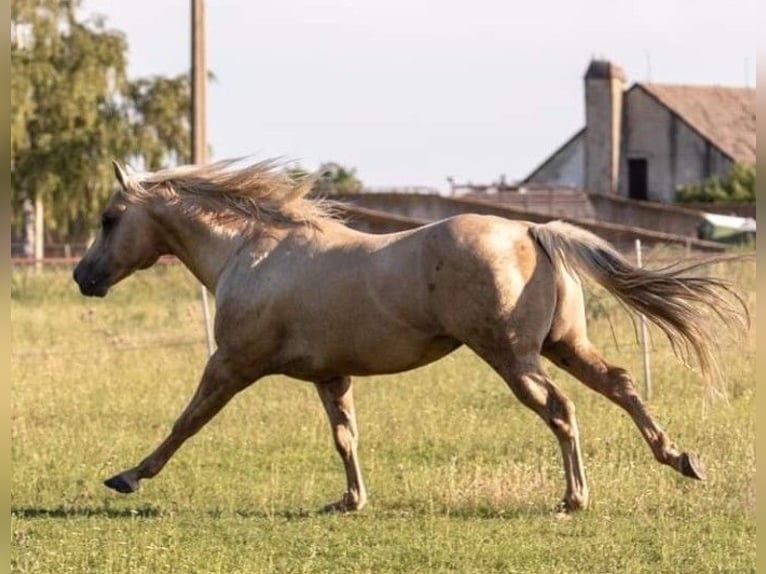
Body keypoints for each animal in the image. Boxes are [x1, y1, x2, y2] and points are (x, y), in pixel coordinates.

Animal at [73, 160, 752, 516]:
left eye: (109, 219)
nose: (84, 276)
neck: (251, 251)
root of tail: (532, 230)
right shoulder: (330, 376)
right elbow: (345, 437)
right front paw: (350, 501)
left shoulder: (232, 364)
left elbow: (186, 421)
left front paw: (128, 476)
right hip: (562, 346)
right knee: (621, 384)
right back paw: (680, 459)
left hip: (513, 356)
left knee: (561, 409)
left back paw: (574, 497)